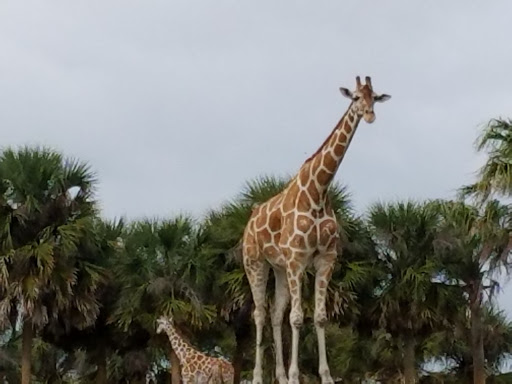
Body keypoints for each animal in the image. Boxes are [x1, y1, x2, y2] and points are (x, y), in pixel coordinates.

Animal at [242, 76, 390, 384]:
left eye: (374, 97)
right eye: (355, 97)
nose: (370, 115)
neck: (319, 192)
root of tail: (249, 221)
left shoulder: (325, 259)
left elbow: (319, 316)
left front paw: (325, 376)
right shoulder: (298, 258)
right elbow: (297, 318)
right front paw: (296, 376)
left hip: (279, 268)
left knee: (275, 313)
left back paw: (279, 377)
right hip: (255, 262)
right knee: (260, 313)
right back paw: (260, 377)